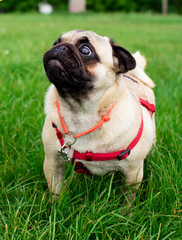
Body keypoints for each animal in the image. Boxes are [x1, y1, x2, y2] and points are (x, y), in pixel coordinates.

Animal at [42, 30, 156, 195]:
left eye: (85, 50)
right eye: (55, 43)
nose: (61, 47)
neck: (80, 111)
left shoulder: (133, 172)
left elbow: (128, 197)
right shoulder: (52, 162)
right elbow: (55, 191)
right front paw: (56, 201)